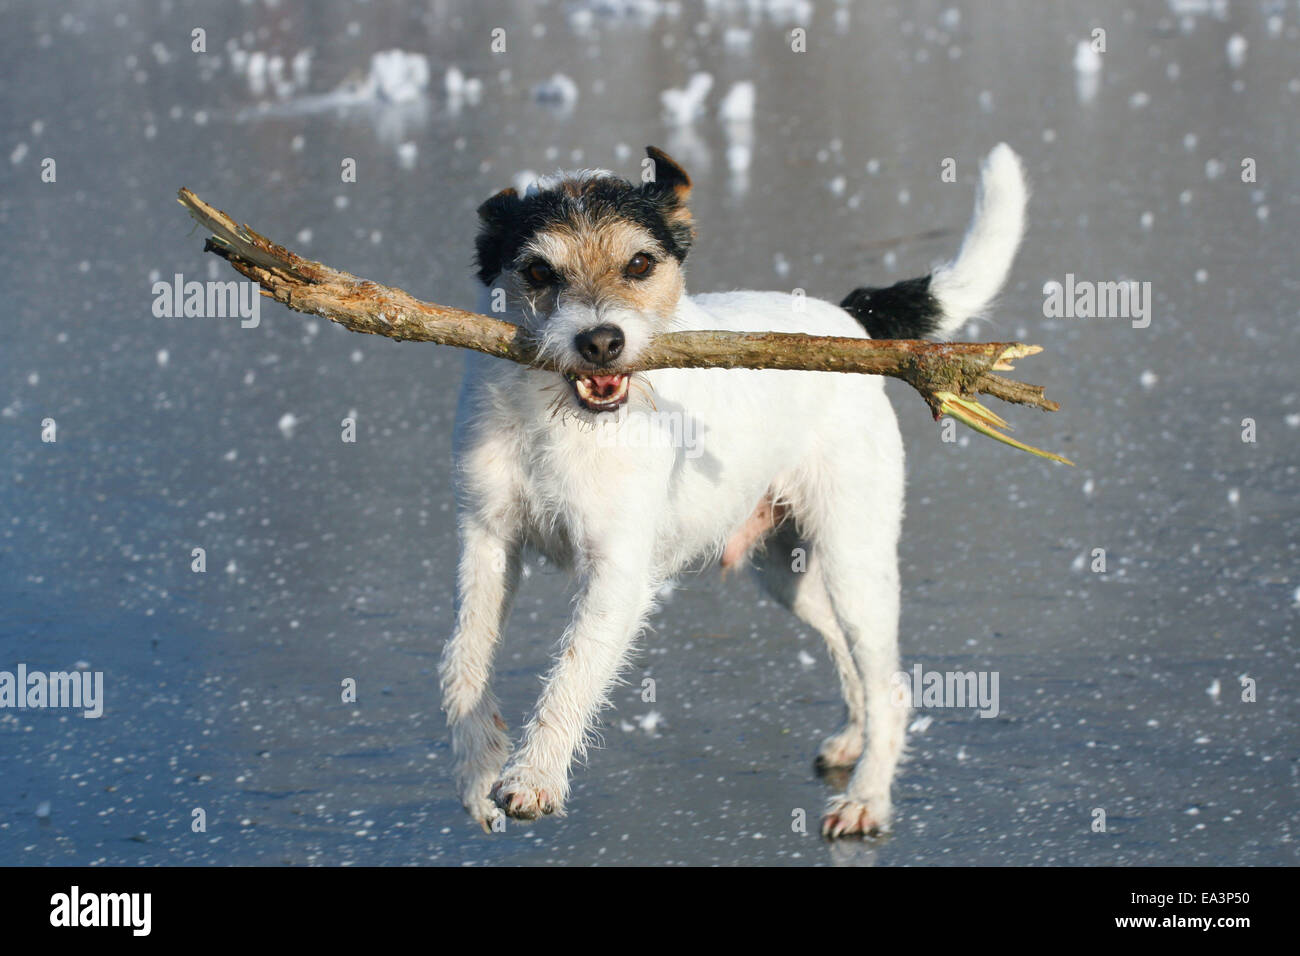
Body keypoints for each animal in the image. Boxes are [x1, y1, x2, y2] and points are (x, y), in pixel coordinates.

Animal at [441, 141, 1029, 837]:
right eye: (536, 271)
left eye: (639, 263)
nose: (601, 342)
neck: (557, 417)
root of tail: (848, 324)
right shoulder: (488, 541)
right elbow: (466, 658)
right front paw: (479, 772)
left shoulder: (618, 571)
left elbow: (575, 671)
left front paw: (534, 776)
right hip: (785, 571)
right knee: (849, 654)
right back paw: (852, 744)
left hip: (854, 559)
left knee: (888, 684)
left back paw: (867, 797)